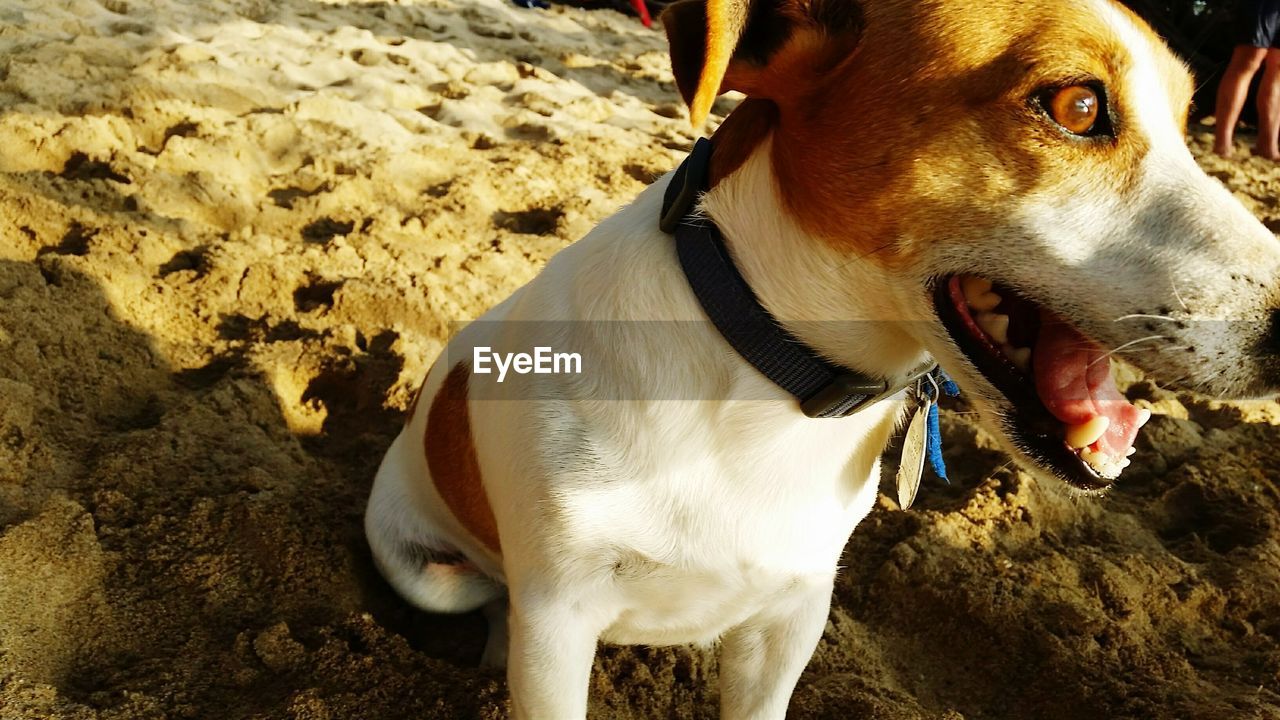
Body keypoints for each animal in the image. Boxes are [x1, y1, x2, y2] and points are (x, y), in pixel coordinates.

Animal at [363, 0, 1280, 712]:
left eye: (1189, 123)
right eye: (1079, 106)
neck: (764, 393)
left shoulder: (793, 614)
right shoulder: (557, 623)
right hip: (427, 568)